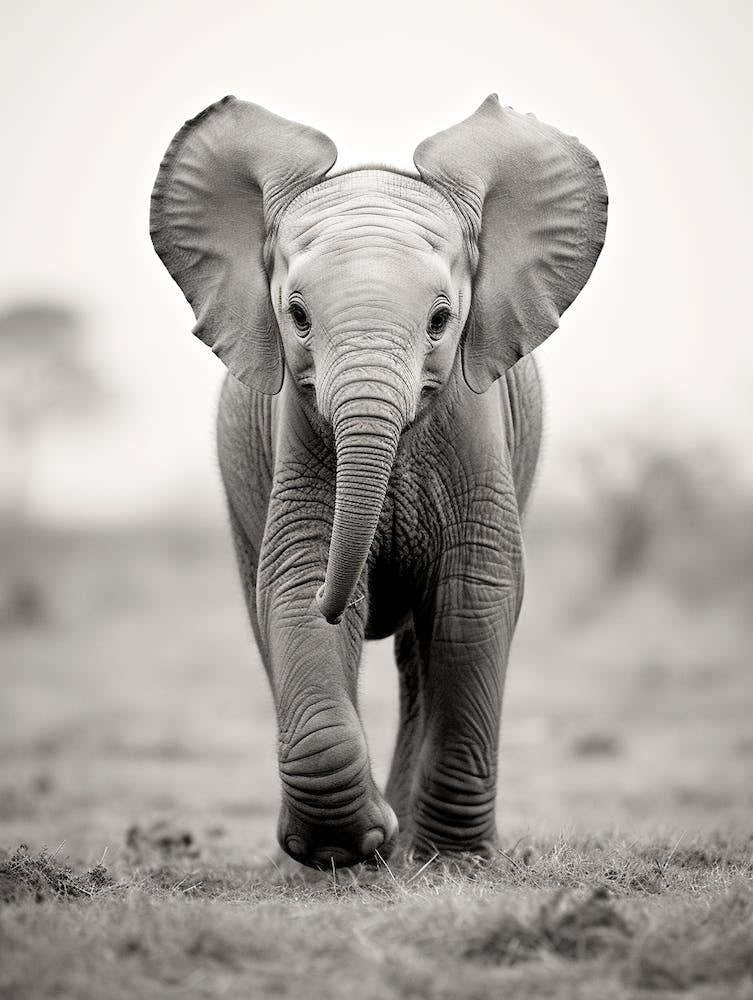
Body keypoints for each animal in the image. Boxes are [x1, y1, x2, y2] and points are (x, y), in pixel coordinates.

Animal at [150, 94, 607, 869]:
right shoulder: (298, 433)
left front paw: (452, 859)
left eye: (441, 320)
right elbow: (294, 585)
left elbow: (474, 599)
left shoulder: (476, 433)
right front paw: (348, 846)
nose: (341, 603)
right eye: (297, 316)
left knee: (421, 657)